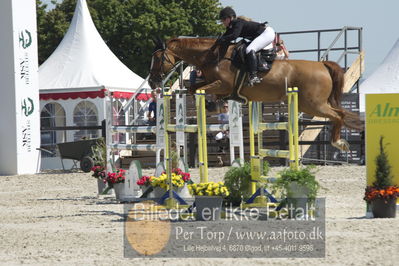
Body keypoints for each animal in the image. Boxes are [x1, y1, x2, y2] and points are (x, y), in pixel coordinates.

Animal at [148, 37, 364, 152]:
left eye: (157, 58)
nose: (152, 82)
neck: (214, 56)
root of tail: (322, 65)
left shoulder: (223, 84)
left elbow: (198, 90)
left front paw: (212, 104)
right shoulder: (217, 85)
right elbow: (195, 88)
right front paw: (213, 104)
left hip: (312, 104)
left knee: (338, 115)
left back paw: (339, 143)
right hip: (310, 104)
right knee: (340, 114)